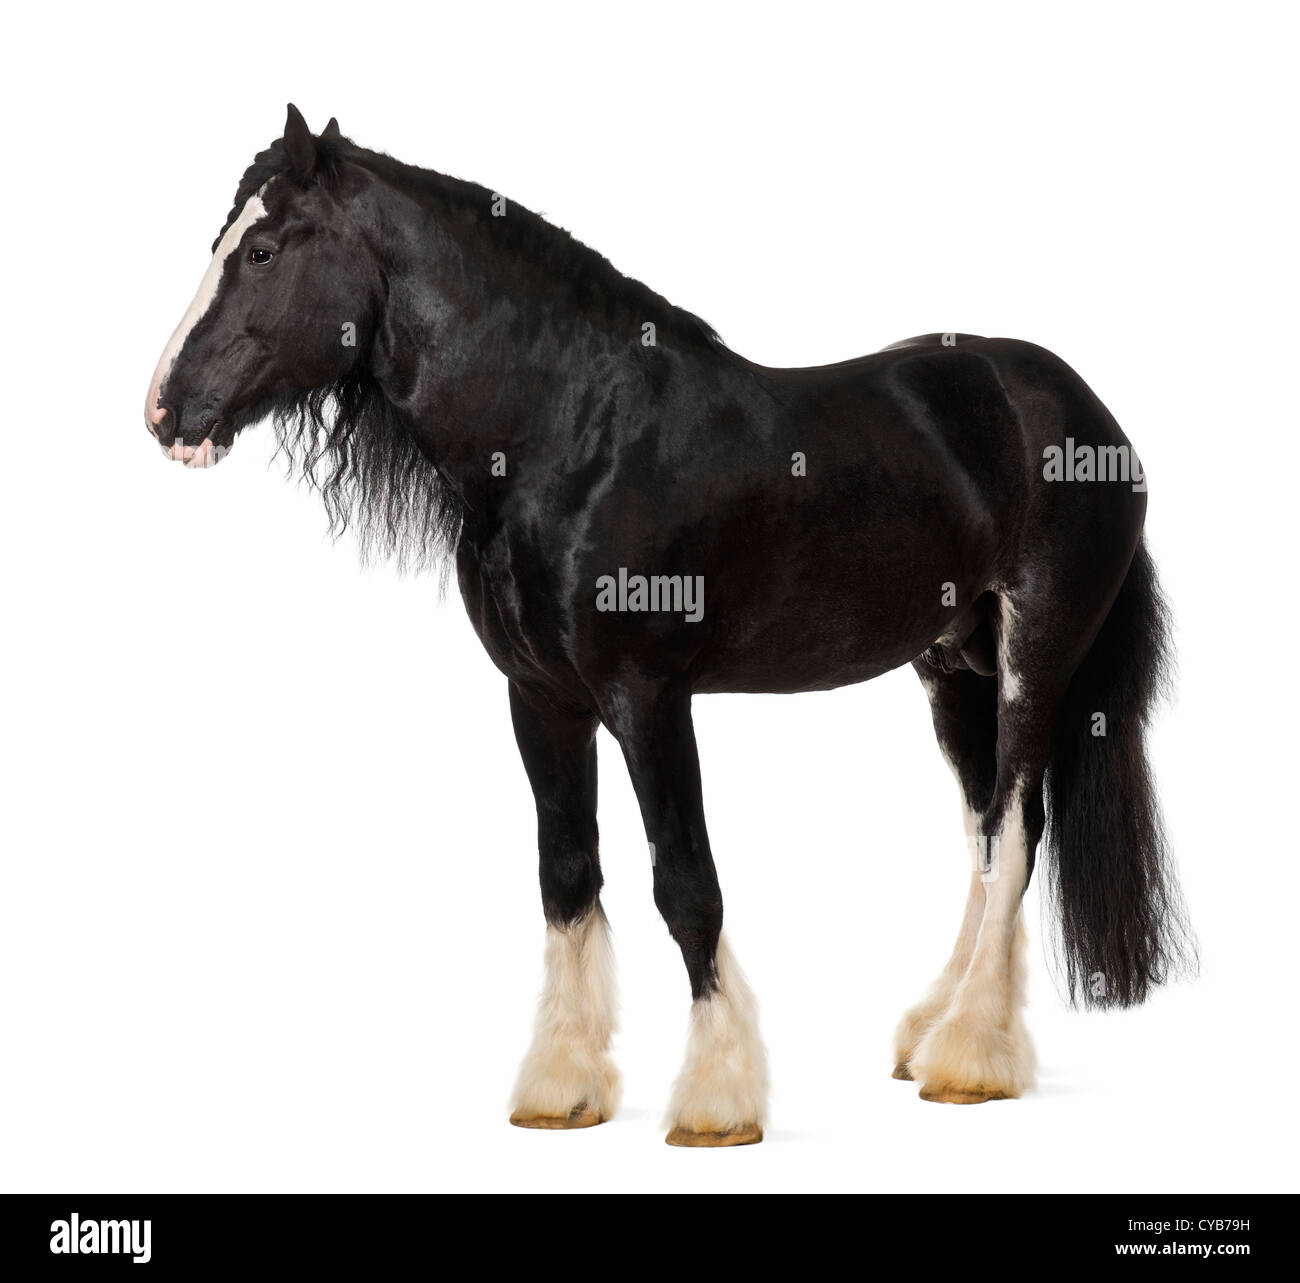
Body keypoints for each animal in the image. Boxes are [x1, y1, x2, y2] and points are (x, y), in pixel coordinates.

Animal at [144, 105, 1195, 1146]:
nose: (165, 410)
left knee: (1016, 830)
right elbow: (567, 875)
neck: (572, 436)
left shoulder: (648, 696)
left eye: (264, 250)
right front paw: (563, 1086)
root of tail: (1083, 410)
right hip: (950, 665)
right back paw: (934, 1032)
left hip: (1035, 654)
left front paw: (717, 1099)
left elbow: (686, 884)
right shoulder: (542, 699)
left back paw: (971, 1057)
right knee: (982, 833)